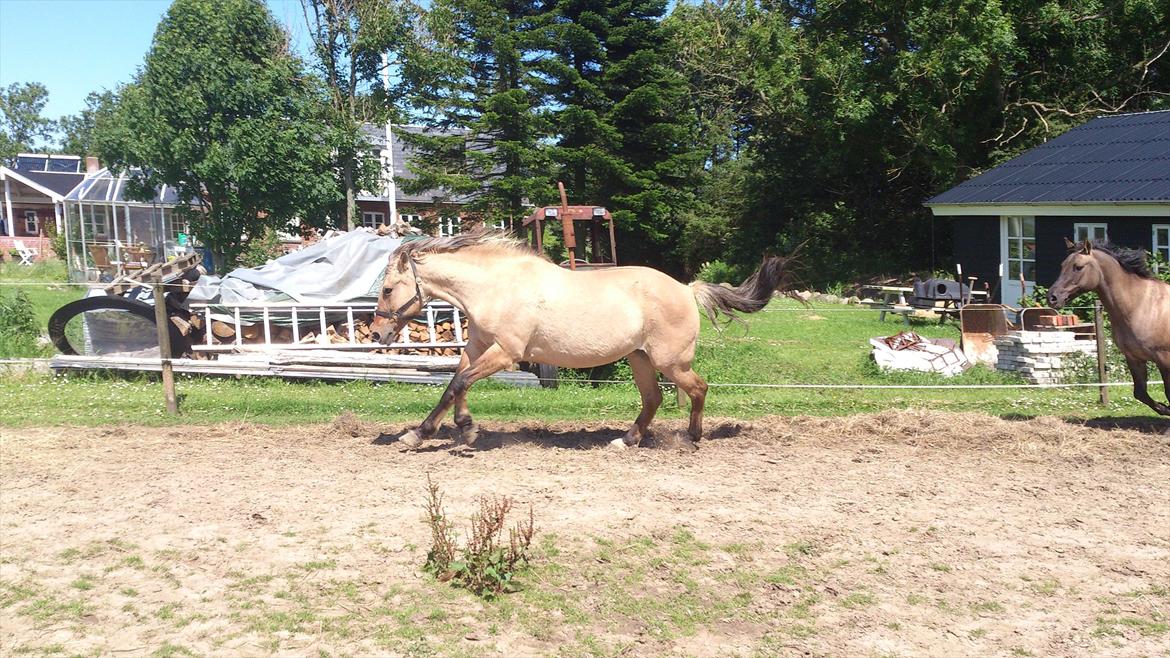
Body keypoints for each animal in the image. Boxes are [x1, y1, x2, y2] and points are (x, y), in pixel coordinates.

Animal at [374, 228, 795, 447]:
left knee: (698, 388)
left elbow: (461, 382)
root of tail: (686, 288)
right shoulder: (478, 347)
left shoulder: (506, 353)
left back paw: (691, 438)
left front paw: (466, 429)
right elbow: (453, 385)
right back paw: (627, 440)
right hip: (640, 358)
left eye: (388, 289)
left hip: (670, 361)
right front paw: (422, 433)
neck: (495, 287)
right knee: (654, 398)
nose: (377, 332)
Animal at [1053, 237, 1170, 414]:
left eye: (1078, 267)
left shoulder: (1164, 359)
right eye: (1062, 266)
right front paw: (1164, 409)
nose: (1052, 297)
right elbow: (1140, 393)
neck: (1142, 305)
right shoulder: (1134, 358)